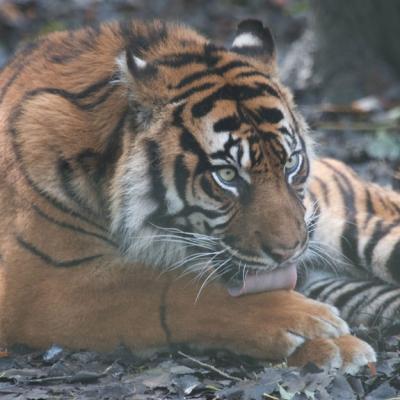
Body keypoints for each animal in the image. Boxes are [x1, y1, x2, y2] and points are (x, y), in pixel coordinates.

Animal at [3, 18, 396, 376]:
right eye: (227, 176)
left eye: (291, 163)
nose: (290, 252)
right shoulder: (42, 283)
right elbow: (174, 288)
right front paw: (312, 324)